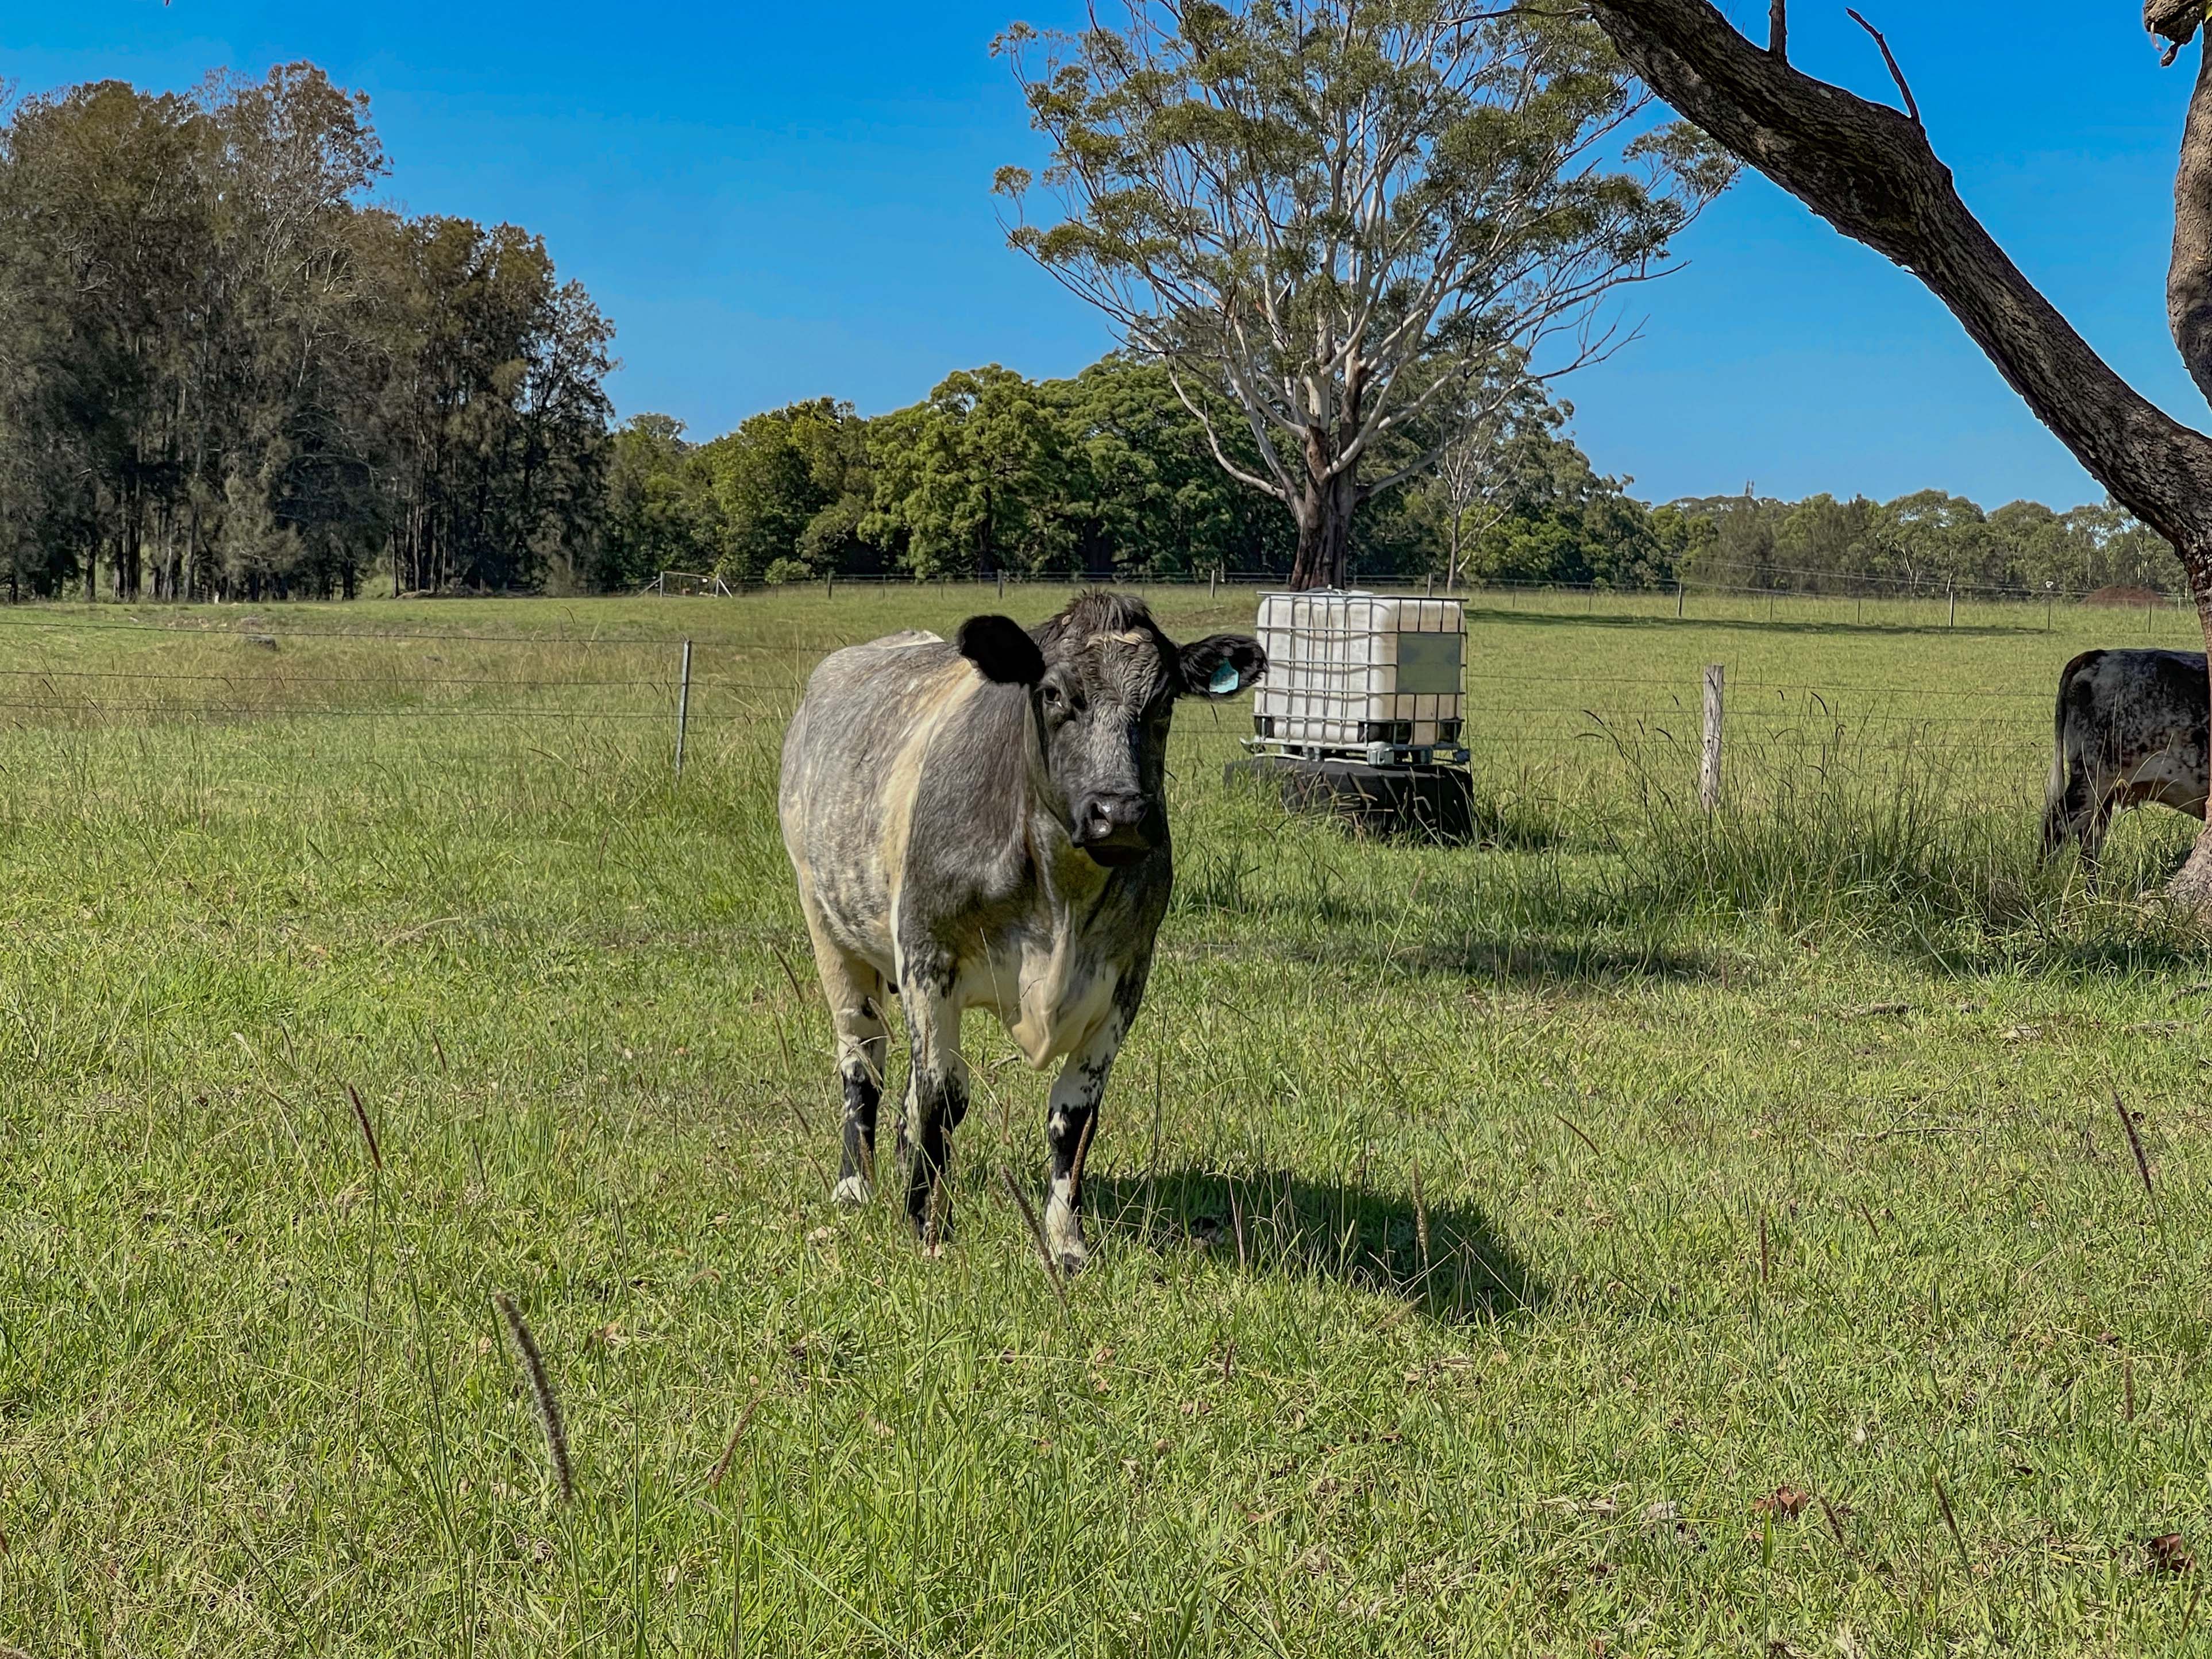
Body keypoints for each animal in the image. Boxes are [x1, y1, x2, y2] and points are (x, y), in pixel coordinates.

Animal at [779, 597, 1265, 1274]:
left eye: (1163, 700)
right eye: (1054, 693)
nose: (1119, 814)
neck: (1061, 900)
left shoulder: (1125, 979)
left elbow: (1072, 1117)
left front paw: (1065, 1241)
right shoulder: (928, 956)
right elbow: (942, 1097)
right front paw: (929, 1224)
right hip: (829, 929)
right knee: (862, 1061)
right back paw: (856, 1184)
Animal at [2035, 654, 2212, 871]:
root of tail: (2097, 654)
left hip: (2102, 793)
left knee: (2089, 838)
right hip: (2092, 778)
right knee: (2058, 821)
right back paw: (2043, 876)